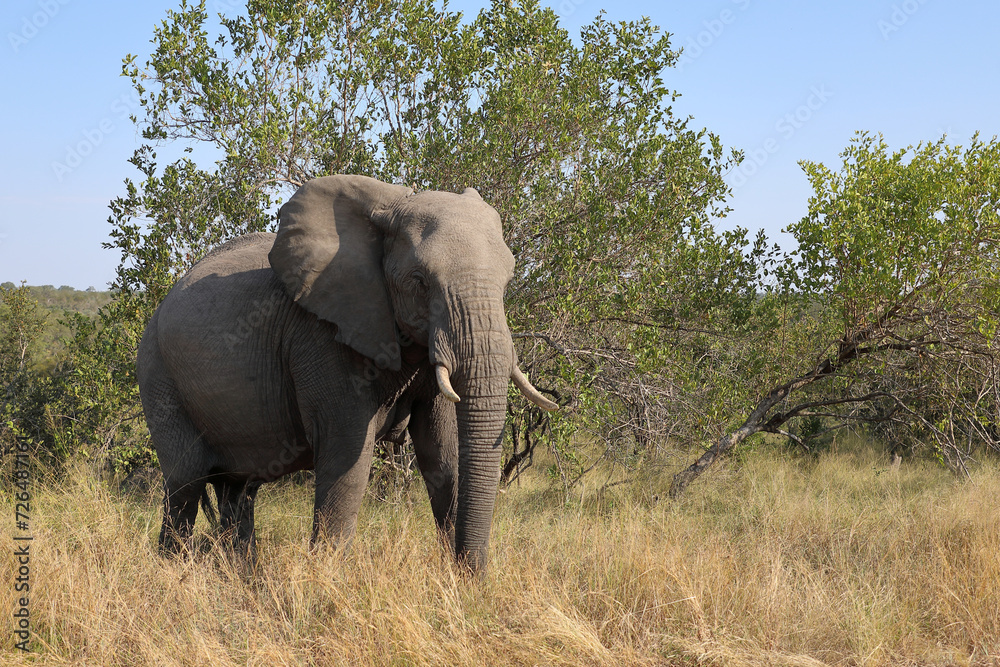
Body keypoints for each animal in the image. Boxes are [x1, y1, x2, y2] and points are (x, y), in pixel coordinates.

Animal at [136, 174, 557, 572]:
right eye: (420, 282)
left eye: (507, 281)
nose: (475, 577)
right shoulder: (321, 338)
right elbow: (348, 462)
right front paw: (326, 580)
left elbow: (443, 456)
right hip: (158, 372)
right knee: (186, 482)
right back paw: (174, 571)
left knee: (238, 491)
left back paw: (240, 575)